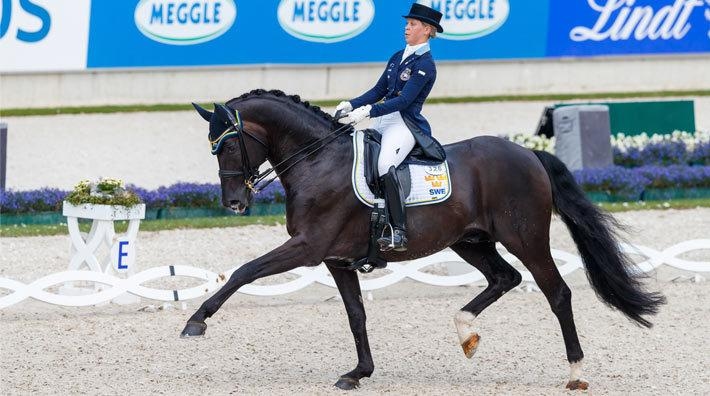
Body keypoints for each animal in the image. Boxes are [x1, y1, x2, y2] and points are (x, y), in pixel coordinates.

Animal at [179, 89, 668, 390]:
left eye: (229, 145)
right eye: (212, 147)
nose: (234, 203)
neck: (318, 162)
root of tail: (529, 153)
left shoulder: (309, 247)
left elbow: (244, 271)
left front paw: (197, 321)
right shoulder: (336, 259)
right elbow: (356, 315)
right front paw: (359, 372)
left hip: (526, 237)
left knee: (557, 292)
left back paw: (575, 372)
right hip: (470, 241)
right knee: (504, 279)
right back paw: (466, 331)